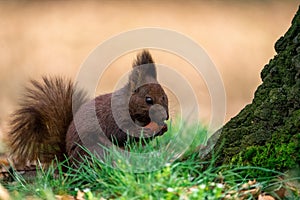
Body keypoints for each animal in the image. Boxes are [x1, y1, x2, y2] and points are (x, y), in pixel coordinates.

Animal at [8, 50, 169, 166]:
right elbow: (123, 133)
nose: (165, 117)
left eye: (165, 97)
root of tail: (67, 164)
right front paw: (146, 131)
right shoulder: (116, 117)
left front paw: (163, 128)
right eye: (148, 100)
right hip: (93, 148)